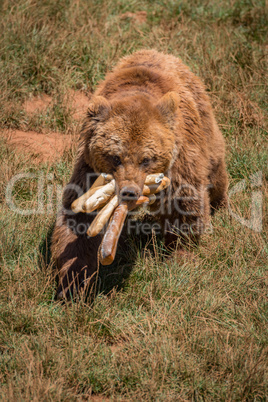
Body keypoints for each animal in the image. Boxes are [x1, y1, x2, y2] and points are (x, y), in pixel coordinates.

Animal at [51, 49, 228, 298]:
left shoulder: (180, 159)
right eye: (115, 157)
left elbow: (184, 204)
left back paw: (222, 205)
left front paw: (180, 257)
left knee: (215, 171)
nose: (129, 192)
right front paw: (75, 284)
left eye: (146, 159)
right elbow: (78, 220)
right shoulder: (89, 170)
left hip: (204, 126)